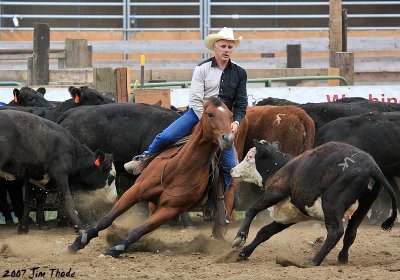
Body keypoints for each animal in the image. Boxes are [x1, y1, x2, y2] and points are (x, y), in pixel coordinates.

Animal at [67, 97, 233, 258]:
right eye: (210, 114)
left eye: (230, 116)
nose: (228, 138)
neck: (179, 168)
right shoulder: (135, 191)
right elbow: (105, 220)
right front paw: (78, 242)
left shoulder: (170, 209)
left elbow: (138, 231)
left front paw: (115, 249)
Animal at [231, 141, 396, 266]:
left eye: (250, 157)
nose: (232, 170)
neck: (280, 167)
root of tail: (371, 165)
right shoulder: (290, 216)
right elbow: (265, 232)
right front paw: (244, 253)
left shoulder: (275, 192)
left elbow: (252, 210)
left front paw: (240, 237)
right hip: (364, 205)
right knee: (351, 232)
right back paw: (342, 258)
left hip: (331, 203)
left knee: (336, 231)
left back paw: (314, 260)